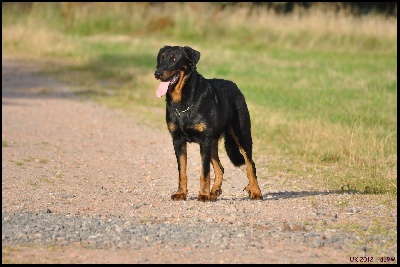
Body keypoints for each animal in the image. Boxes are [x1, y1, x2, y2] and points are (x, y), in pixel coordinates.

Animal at [154, 45, 262, 201]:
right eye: (161, 58)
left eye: (173, 59)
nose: (157, 73)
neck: (184, 101)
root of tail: (235, 86)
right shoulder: (178, 140)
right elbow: (182, 171)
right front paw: (181, 192)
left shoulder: (204, 140)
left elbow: (204, 172)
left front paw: (203, 194)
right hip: (213, 142)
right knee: (220, 168)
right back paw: (215, 191)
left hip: (241, 134)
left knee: (250, 164)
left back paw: (255, 191)